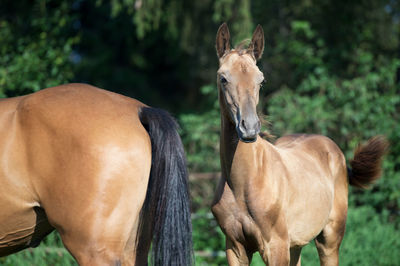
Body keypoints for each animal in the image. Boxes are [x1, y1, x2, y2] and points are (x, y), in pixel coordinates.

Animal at [211, 23, 390, 266]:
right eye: (223, 78)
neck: (245, 182)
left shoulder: (275, 247)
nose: (249, 128)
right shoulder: (235, 247)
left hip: (329, 240)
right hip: (295, 245)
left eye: (261, 80)